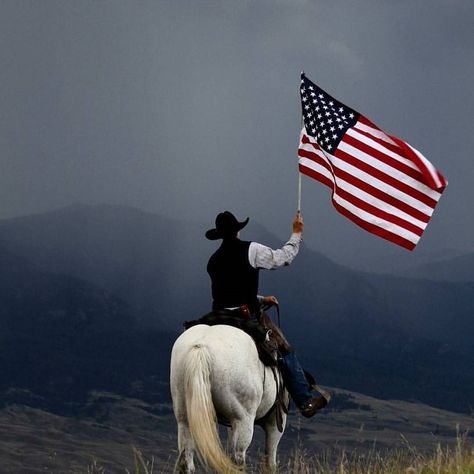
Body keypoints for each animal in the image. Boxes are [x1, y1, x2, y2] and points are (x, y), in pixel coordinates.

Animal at [170, 324, 288, 472]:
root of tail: (202, 347)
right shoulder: (275, 423)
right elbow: (270, 462)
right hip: (243, 421)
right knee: (238, 459)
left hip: (184, 418)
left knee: (186, 461)